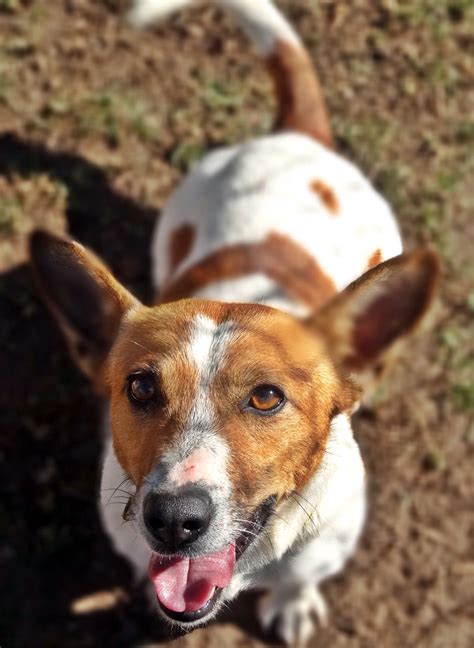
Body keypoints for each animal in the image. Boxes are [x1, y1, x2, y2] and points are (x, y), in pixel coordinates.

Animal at [27, 0, 438, 644]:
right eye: (141, 388)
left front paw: (294, 604)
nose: (173, 519)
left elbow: (300, 580)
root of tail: (296, 135)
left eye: (267, 397)